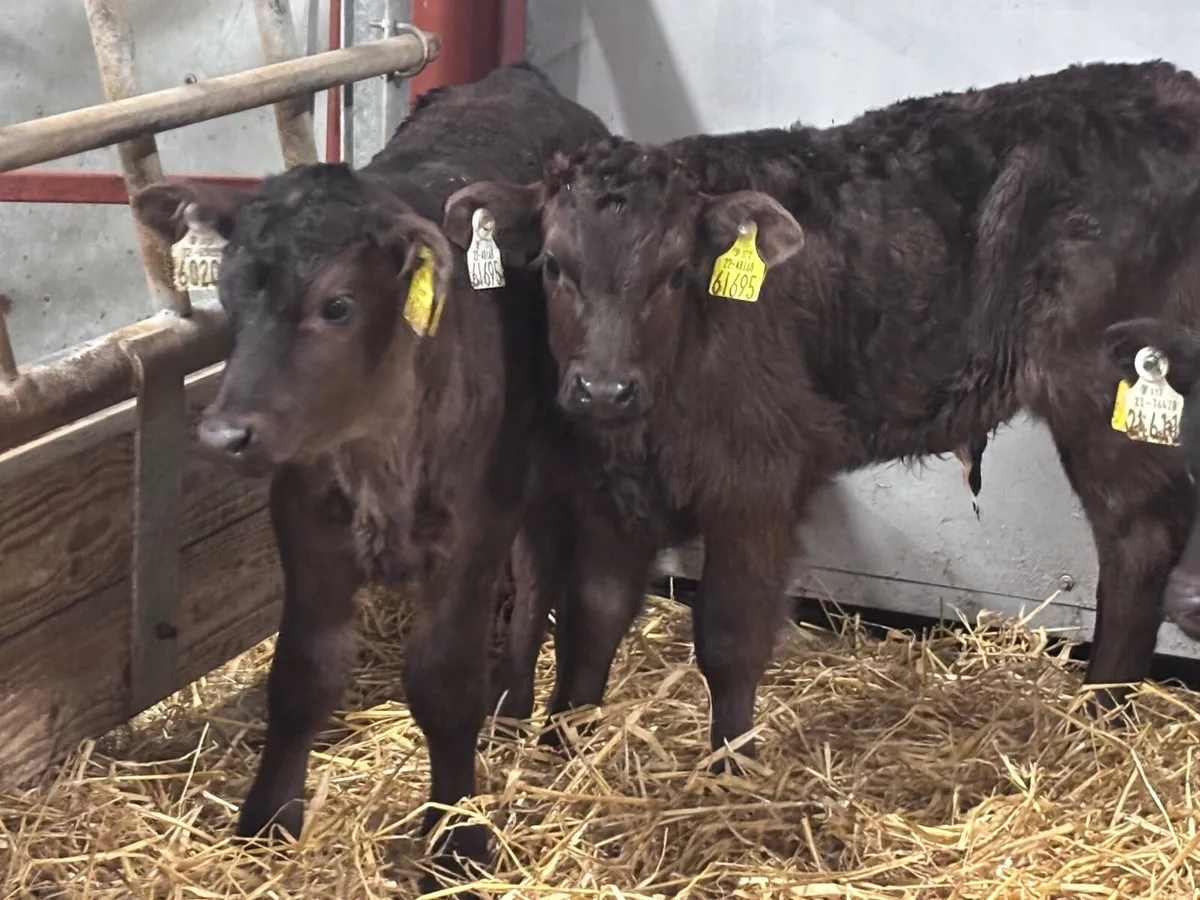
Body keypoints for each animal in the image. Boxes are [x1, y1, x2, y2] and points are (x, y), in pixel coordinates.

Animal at [131, 60, 609, 883]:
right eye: (227, 295)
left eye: (338, 305)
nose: (224, 432)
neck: (378, 451)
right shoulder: (304, 520)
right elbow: (302, 675)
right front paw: (266, 821)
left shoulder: (476, 527)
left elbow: (444, 683)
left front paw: (457, 836)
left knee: (539, 572)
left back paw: (513, 699)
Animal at [444, 60, 1200, 767]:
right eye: (553, 266)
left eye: (675, 273)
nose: (604, 389)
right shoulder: (611, 492)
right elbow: (591, 622)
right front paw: (558, 754)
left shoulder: (759, 480)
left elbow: (729, 636)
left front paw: (729, 771)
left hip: (1107, 391)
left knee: (1136, 542)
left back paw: (1100, 718)